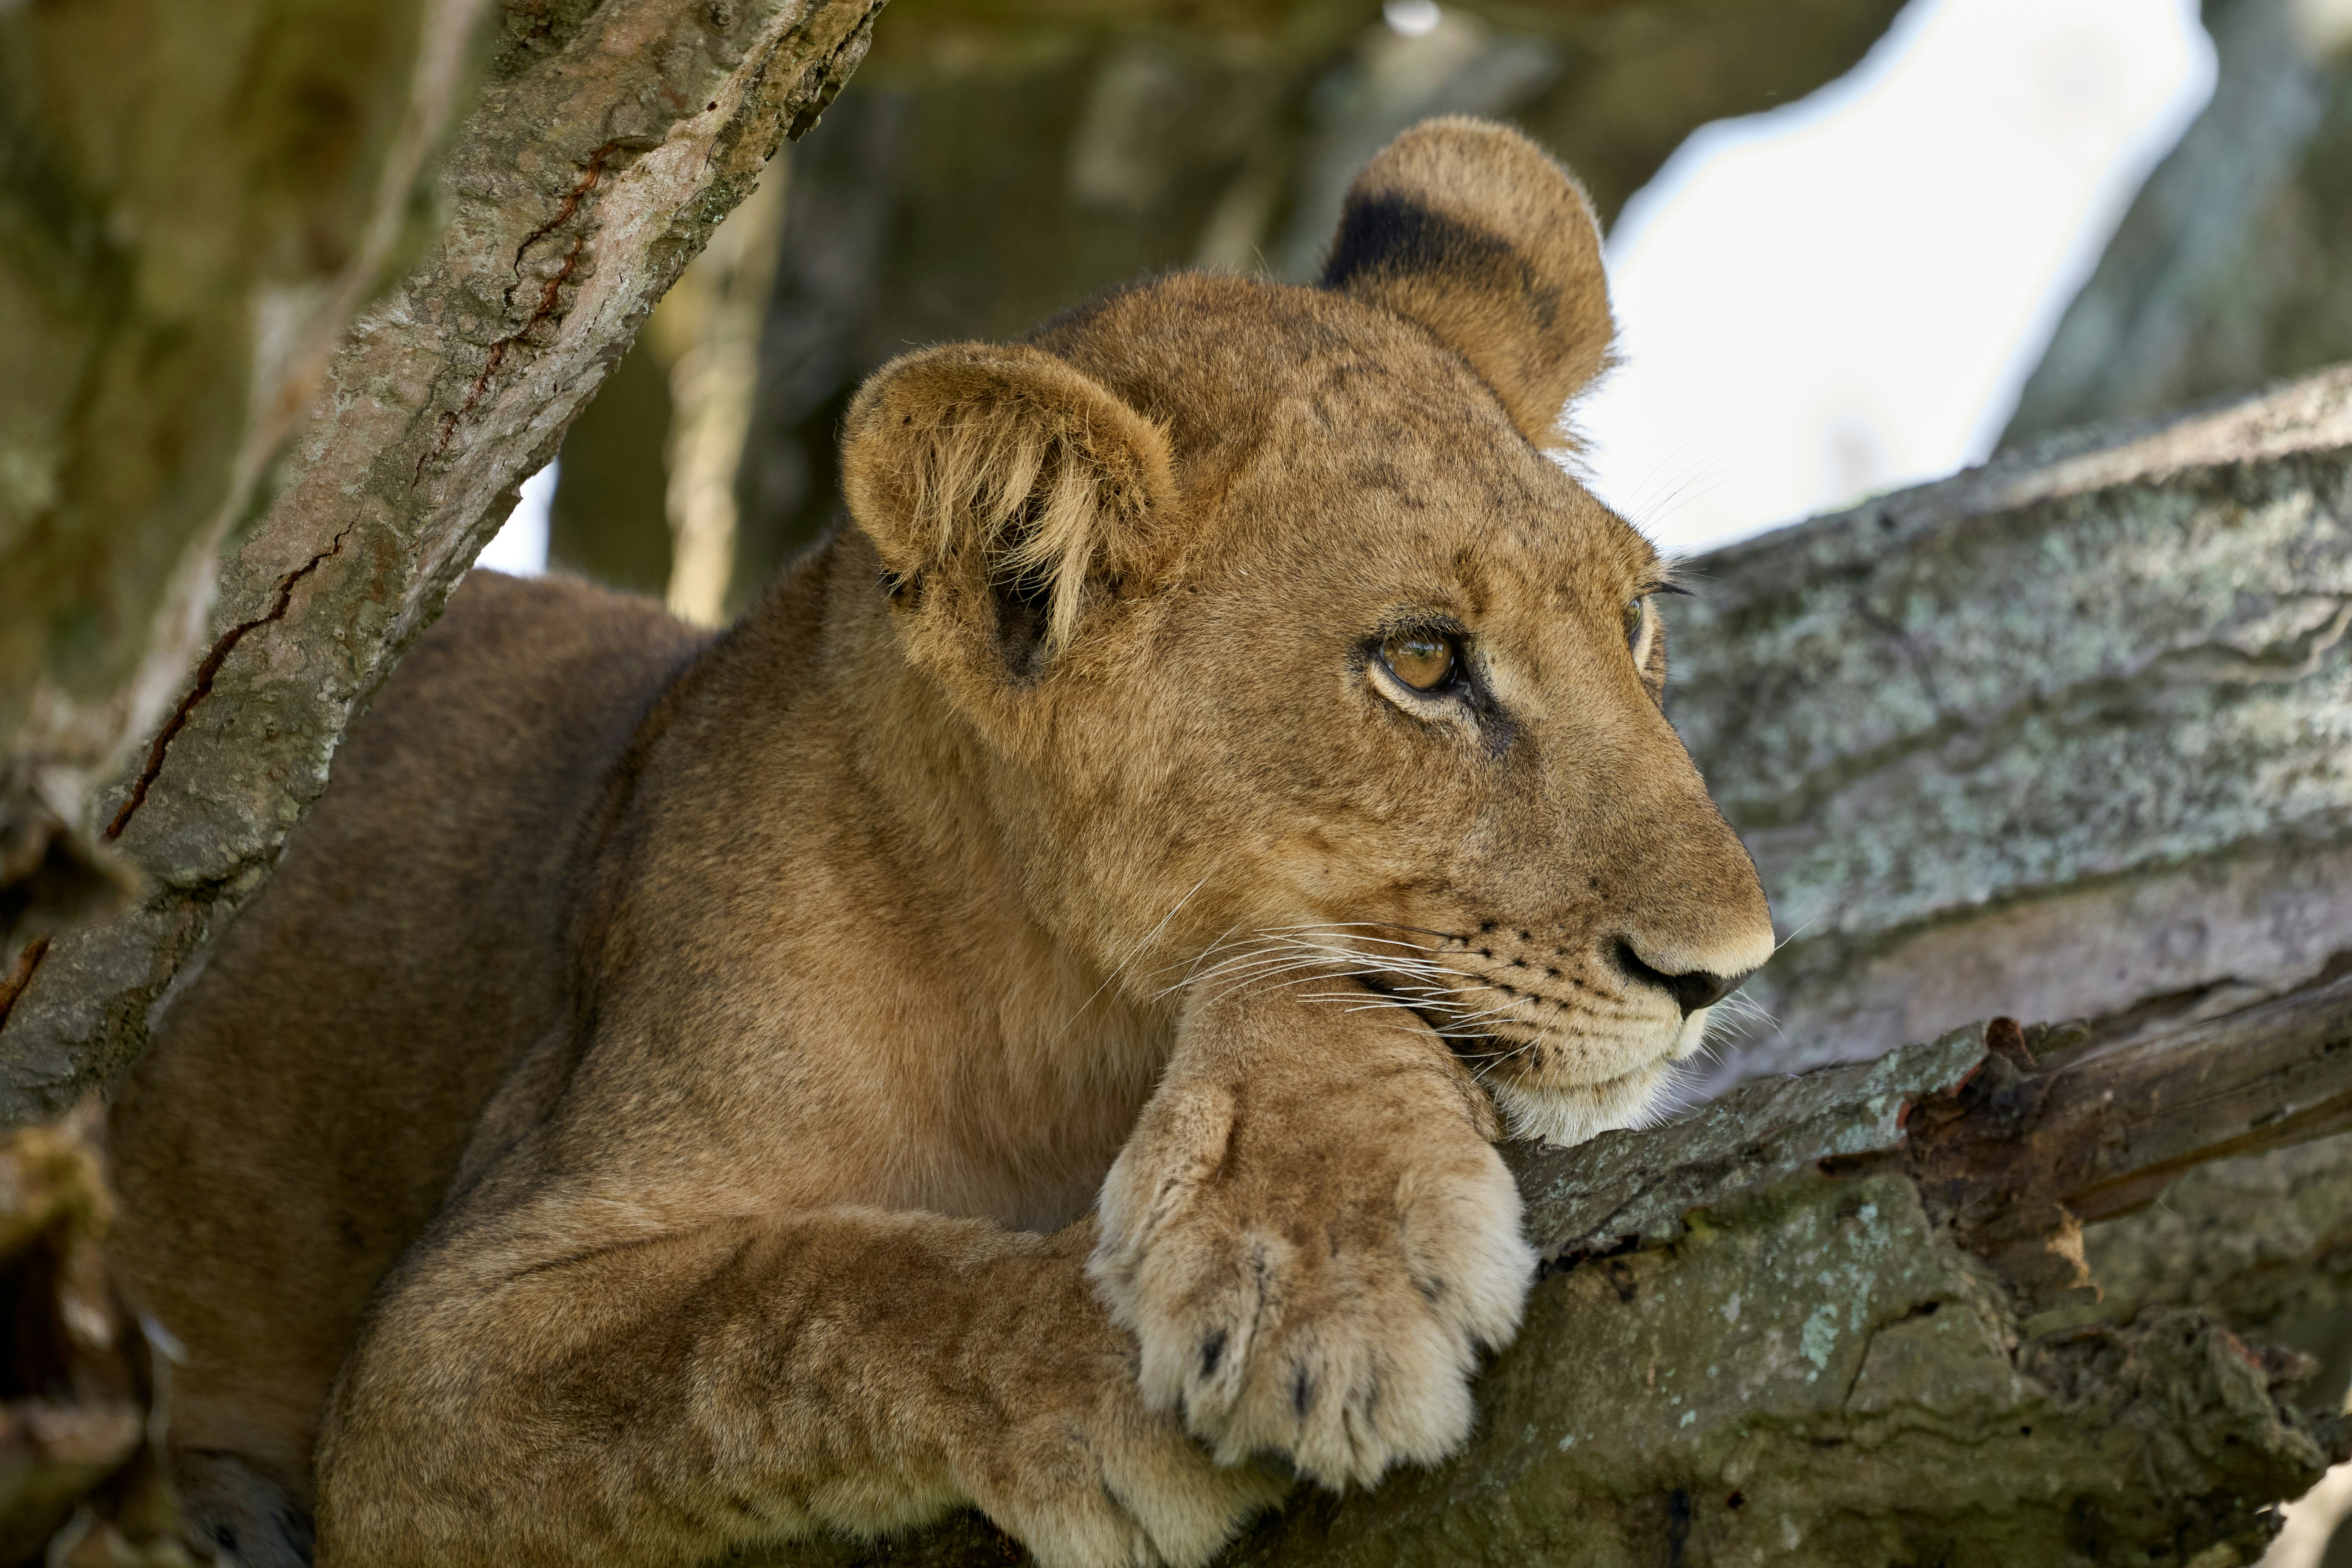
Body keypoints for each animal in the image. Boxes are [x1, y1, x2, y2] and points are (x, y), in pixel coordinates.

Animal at [103, 117, 1774, 1568]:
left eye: (1635, 621)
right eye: (1422, 662)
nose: (1728, 972)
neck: (1059, 1028)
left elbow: (1306, 983)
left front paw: (1315, 1257)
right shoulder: (435, 1365)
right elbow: (783, 1307)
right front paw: (1142, 1357)